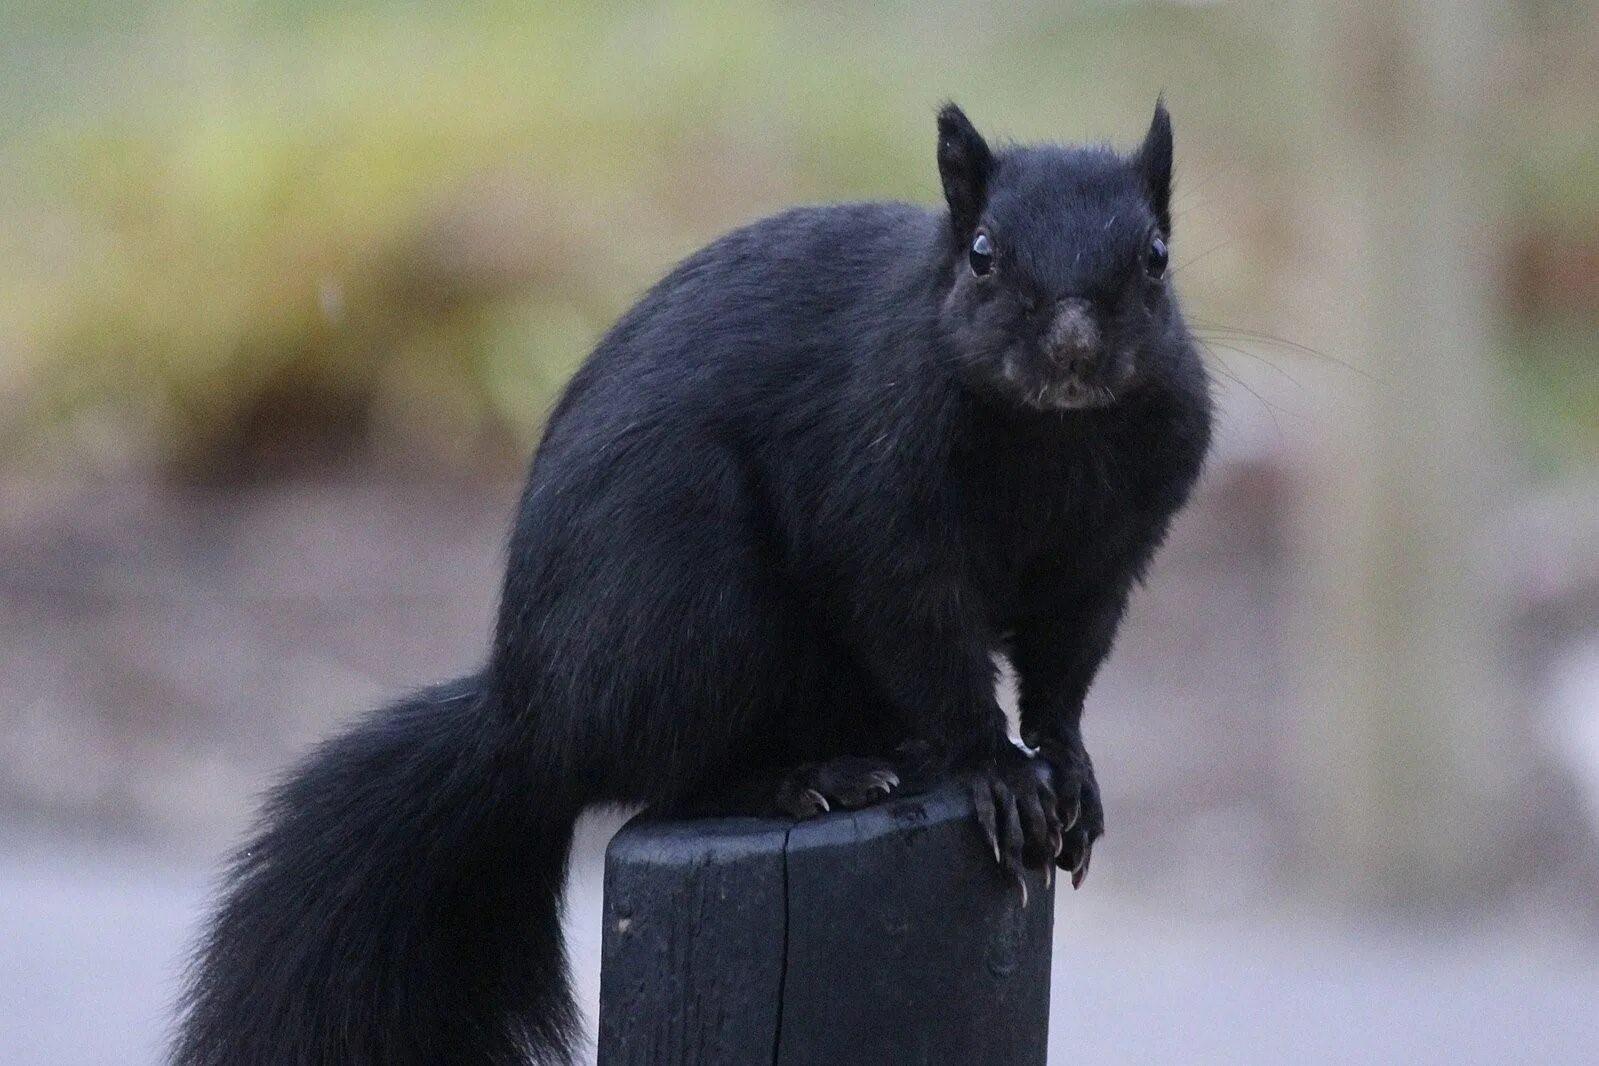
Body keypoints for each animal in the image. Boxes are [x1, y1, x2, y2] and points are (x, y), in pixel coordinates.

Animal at [175, 103, 1208, 1066]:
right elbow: (931, 644)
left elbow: (1063, 671)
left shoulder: (1107, 557)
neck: (1052, 436)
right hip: (684, 597)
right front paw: (998, 771)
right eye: (983, 254)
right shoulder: (883, 516)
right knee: (665, 781)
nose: (1072, 348)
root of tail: (524, 719)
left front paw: (1066, 766)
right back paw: (803, 781)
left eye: (1156, 257)